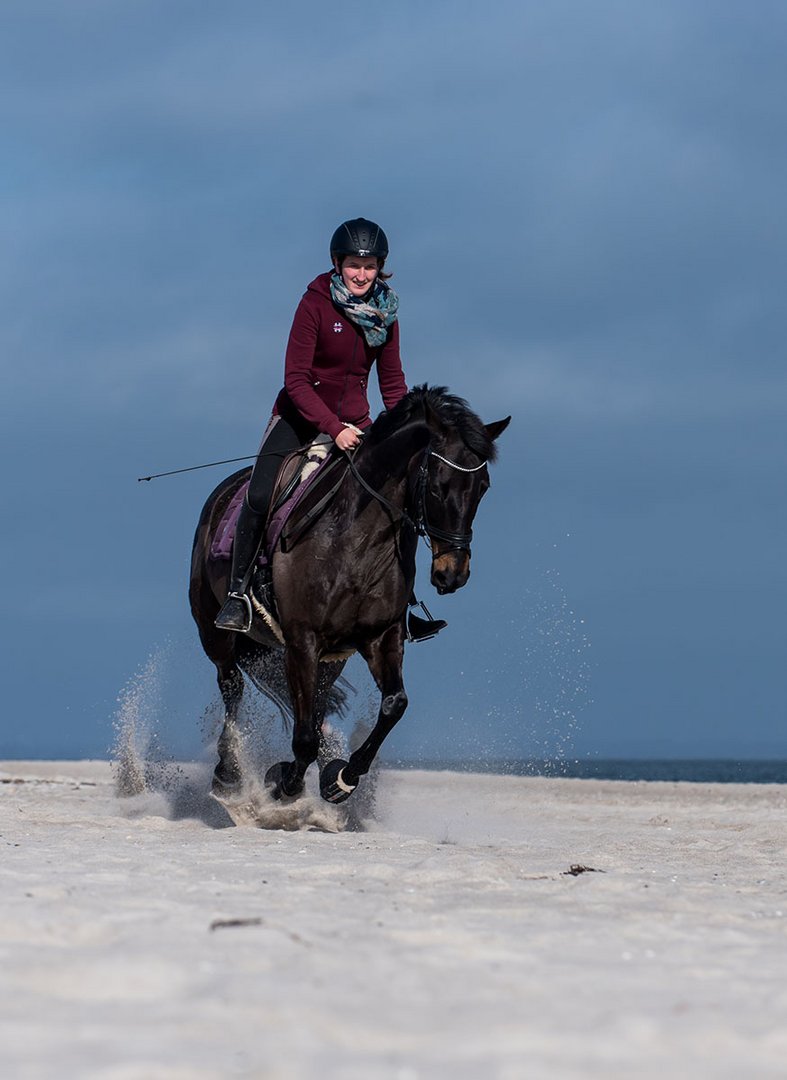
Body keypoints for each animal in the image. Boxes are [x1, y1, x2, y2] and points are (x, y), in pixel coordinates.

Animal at [190, 384, 509, 807]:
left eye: (483, 488)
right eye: (438, 486)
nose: (452, 573)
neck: (359, 540)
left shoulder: (381, 636)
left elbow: (394, 704)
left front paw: (339, 778)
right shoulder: (302, 641)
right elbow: (304, 737)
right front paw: (287, 784)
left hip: (332, 659)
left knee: (314, 702)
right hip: (216, 632)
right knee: (232, 688)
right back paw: (227, 773)